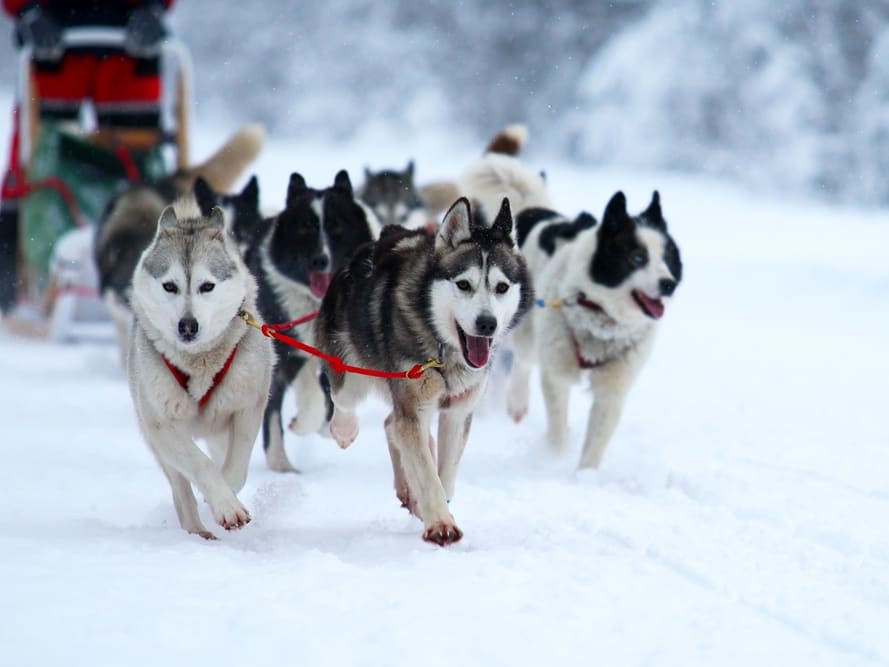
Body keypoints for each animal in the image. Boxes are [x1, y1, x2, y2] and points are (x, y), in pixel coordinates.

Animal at [125, 197, 270, 536]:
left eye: (207, 286)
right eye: (169, 286)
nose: (188, 325)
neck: (200, 363)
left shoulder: (248, 407)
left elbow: (235, 468)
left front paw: (226, 496)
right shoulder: (161, 424)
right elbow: (199, 466)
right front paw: (225, 505)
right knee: (181, 488)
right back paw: (197, 531)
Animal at [314, 197, 532, 544]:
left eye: (501, 287)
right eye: (463, 284)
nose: (487, 324)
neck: (445, 352)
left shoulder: (457, 412)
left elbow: (444, 473)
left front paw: (437, 507)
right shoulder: (414, 405)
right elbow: (428, 472)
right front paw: (441, 523)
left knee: (392, 424)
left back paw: (409, 491)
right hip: (352, 368)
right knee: (349, 402)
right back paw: (346, 431)